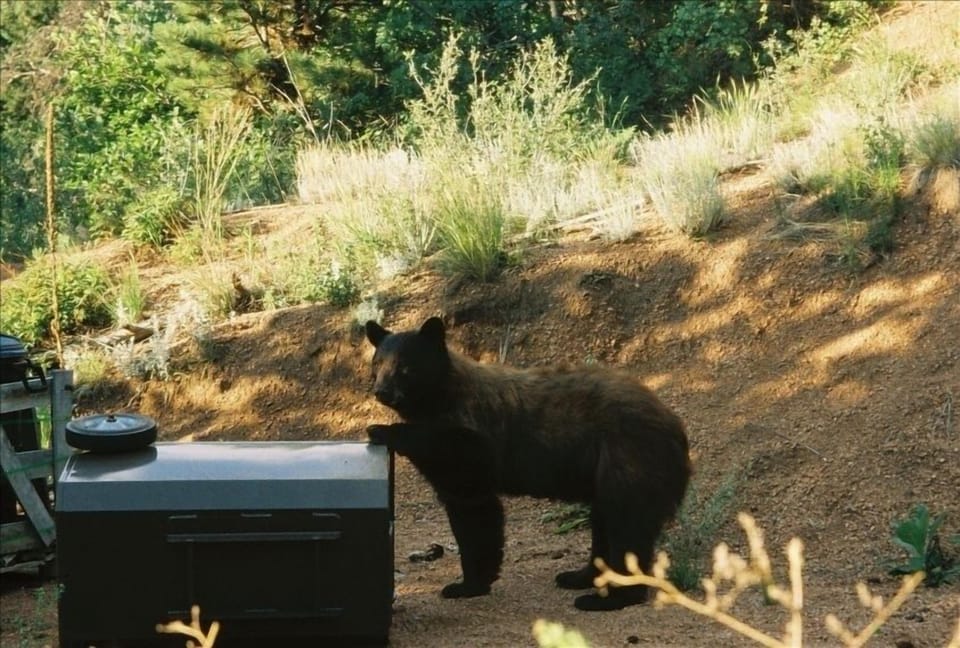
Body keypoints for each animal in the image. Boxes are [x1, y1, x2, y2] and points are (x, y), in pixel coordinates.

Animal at [364, 316, 691, 611]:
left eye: (404, 366)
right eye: (377, 363)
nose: (381, 392)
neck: (439, 396)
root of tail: (676, 428)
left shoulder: (475, 438)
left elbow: (472, 501)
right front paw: (472, 583)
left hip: (628, 460)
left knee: (626, 526)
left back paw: (608, 599)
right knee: (604, 522)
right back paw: (579, 577)